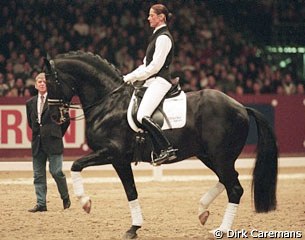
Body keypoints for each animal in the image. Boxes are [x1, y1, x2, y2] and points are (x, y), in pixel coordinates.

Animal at [44, 51, 276, 239]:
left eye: (50, 83)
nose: (54, 116)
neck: (108, 103)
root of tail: (241, 106)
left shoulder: (114, 154)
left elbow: (81, 167)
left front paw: (86, 203)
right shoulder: (117, 158)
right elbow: (127, 189)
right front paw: (133, 227)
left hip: (220, 157)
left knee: (234, 188)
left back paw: (223, 229)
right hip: (209, 156)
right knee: (228, 180)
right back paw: (202, 210)